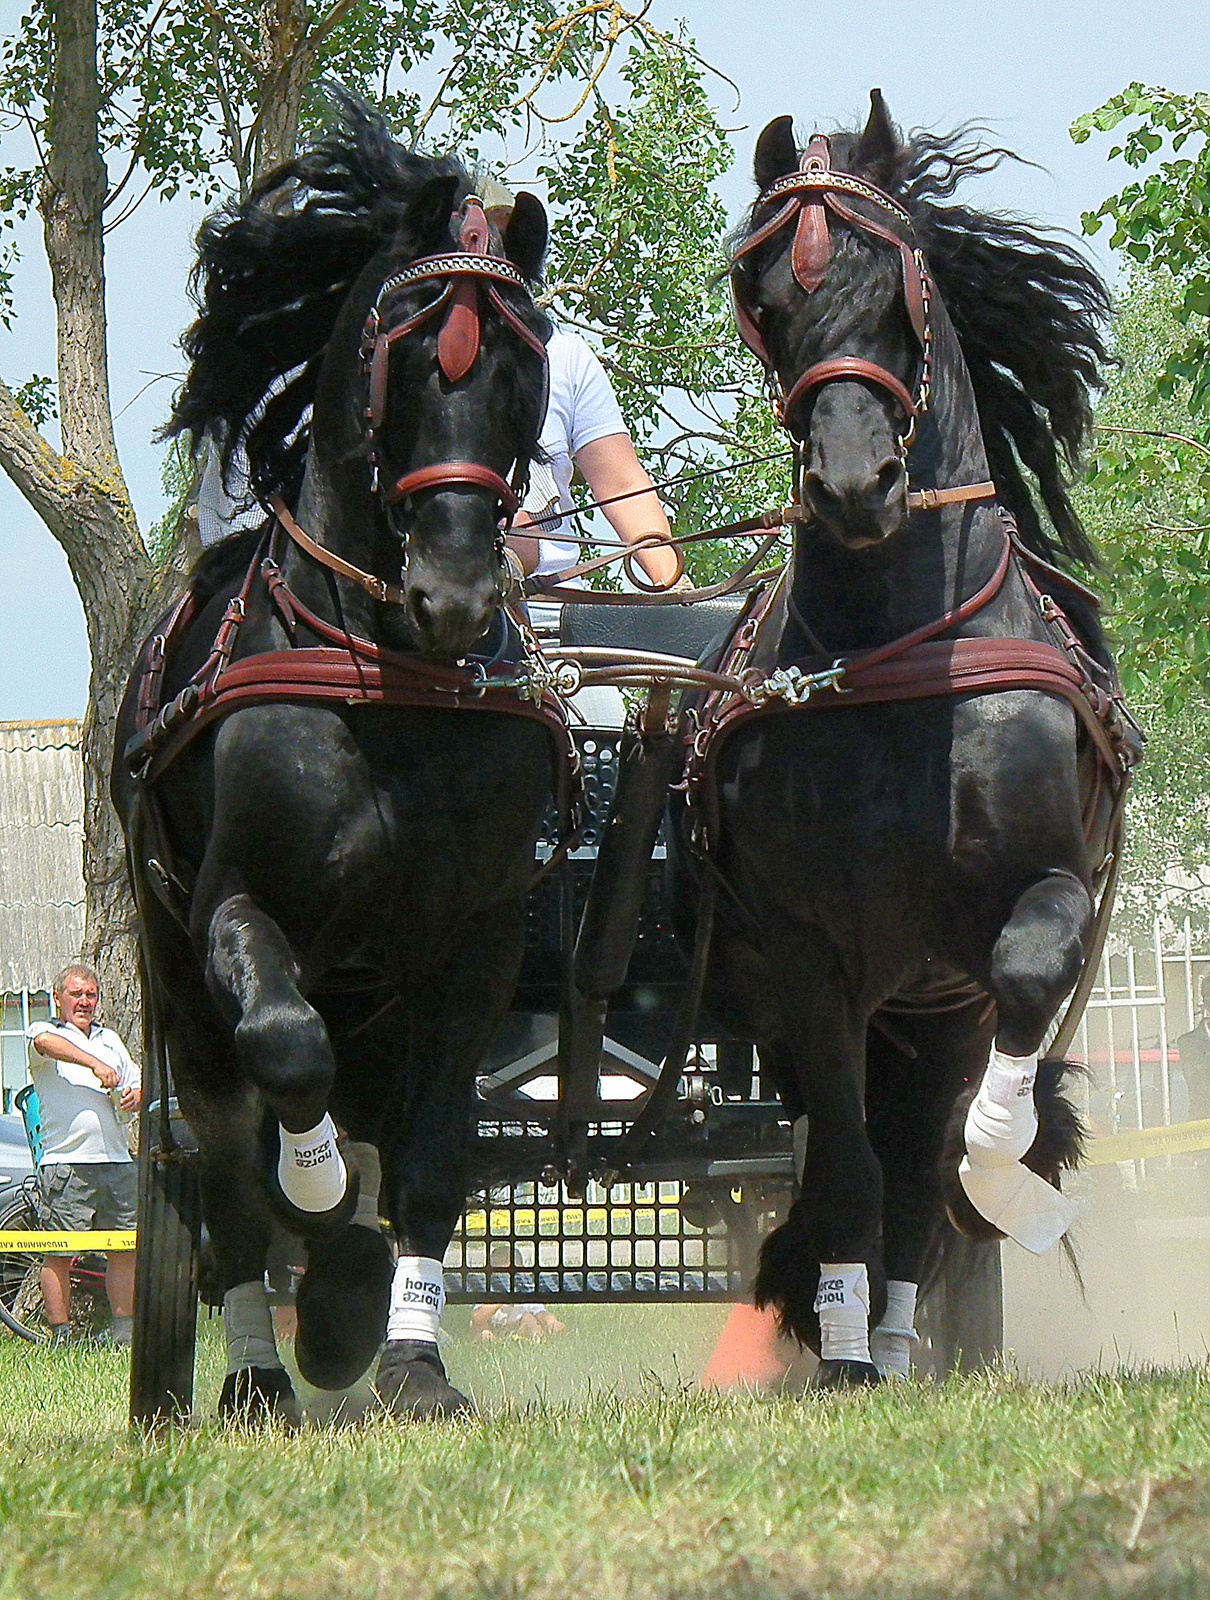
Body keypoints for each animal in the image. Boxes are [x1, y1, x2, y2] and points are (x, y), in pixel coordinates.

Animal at [113, 96, 566, 1427]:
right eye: (401, 360)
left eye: (525, 367)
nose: (453, 593)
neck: (388, 692)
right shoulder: (235, 908)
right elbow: (284, 1061)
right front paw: (324, 1244)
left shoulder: (475, 944)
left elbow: (430, 1158)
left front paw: (409, 1355)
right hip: (176, 982)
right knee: (224, 1173)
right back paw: (263, 1363)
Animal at [675, 90, 1126, 1388]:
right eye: (762, 297)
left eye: (902, 287)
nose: (851, 484)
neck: (897, 665)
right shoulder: (804, 956)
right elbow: (846, 1167)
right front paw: (832, 1341)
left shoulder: (1030, 905)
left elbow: (982, 1076)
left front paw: (1004, 1164)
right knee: (867, 1157)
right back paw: (856, 1333)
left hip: (931, 1008)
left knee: (923, 1156)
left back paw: (904, 1320)